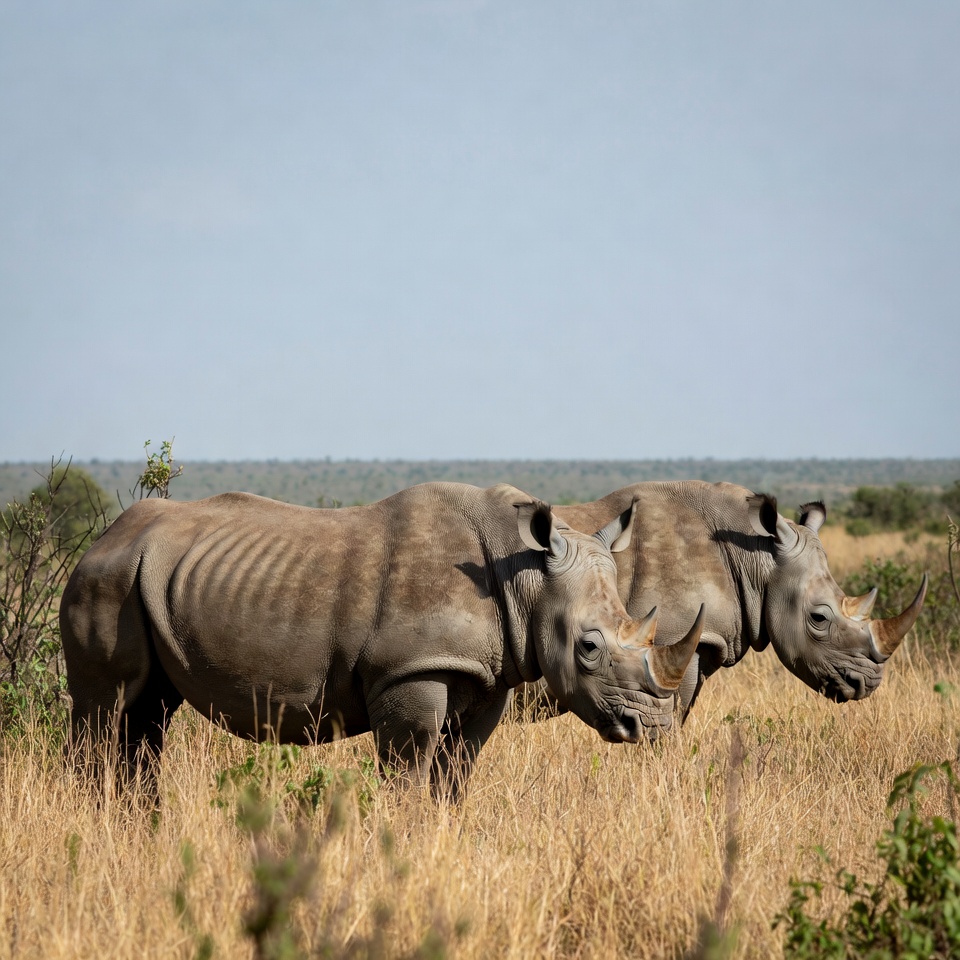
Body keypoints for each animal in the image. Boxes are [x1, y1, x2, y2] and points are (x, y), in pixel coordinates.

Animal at [60, 482, 704, 797]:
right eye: (588, 649)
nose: (652, 727)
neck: (522, 575)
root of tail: (102, 539)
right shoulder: (410, 669)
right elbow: (409, 772)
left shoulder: (486, 674)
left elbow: (454, 774)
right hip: (104, 581)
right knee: (106, 711)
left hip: (144, 580)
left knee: (147, 717)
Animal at [531, 481, 927, 720]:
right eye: (819, 618)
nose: (867, 684)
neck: (758, 556)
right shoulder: (668, 642)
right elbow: (671, 713)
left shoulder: (700, 644)